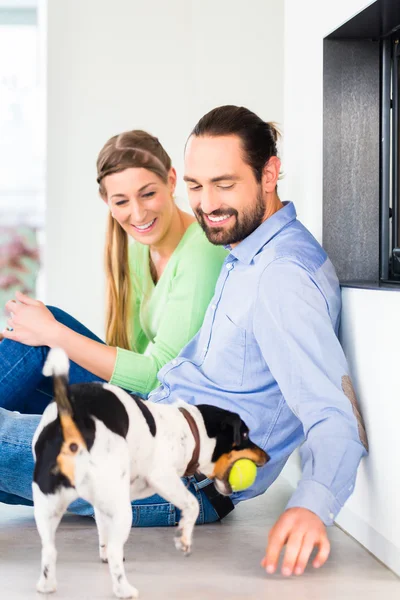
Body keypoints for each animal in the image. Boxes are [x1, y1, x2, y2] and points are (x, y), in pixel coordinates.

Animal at [32, 350, 268, 596]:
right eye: (245, 434)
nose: (267, 457)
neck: (189, 430)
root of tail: (71, 422)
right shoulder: (163, 477)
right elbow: (192, 505)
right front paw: (184, 538)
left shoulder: (102, 505)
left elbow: (103, 534)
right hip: (123, 511)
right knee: (115, 552)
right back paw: (124, 590)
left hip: (48, 506)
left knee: (49, 549)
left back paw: (47, 586)